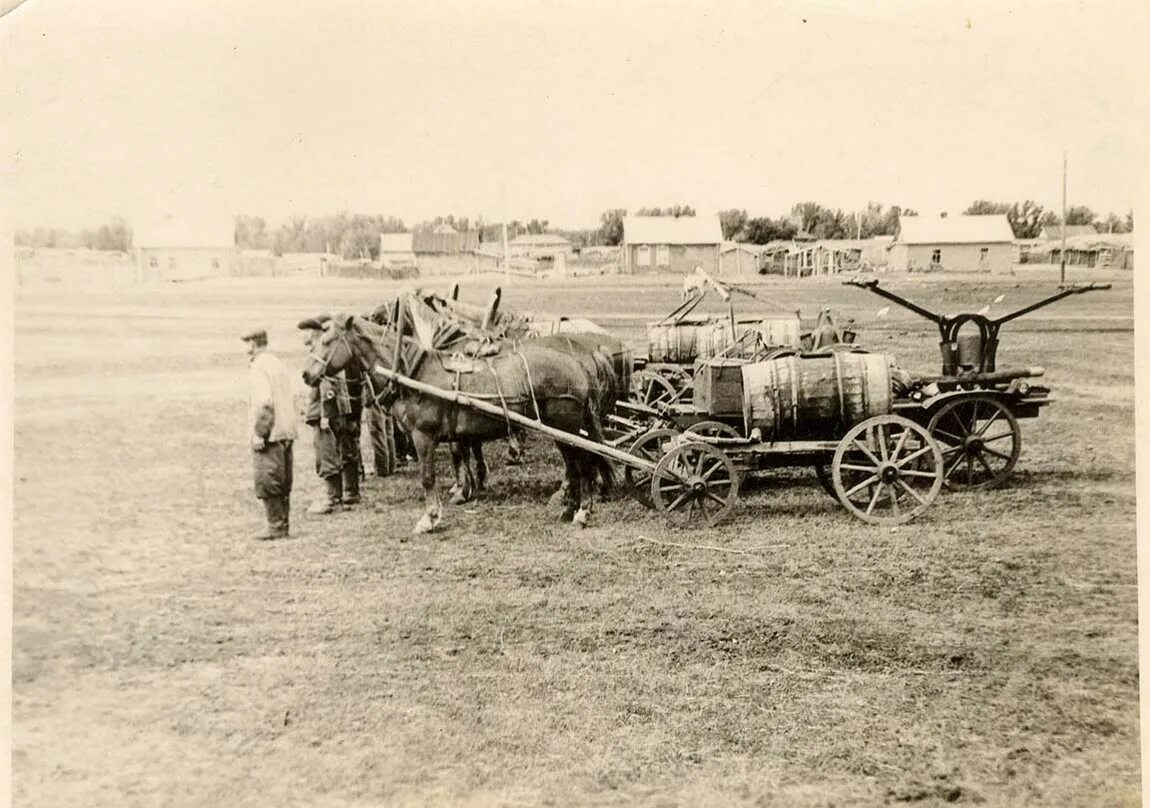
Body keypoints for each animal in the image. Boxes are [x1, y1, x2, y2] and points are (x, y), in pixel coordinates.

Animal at [303, 312, 611, 533]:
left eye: (327, 341)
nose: (306, 375)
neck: (414, 374)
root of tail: (579, 363)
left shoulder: (422, 436)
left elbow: (427, 477)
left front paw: (430, 518)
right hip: (561, 430)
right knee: (573, 466)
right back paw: (569, 510)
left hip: (566, 426)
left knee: (583, 464)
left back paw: (583, 512)